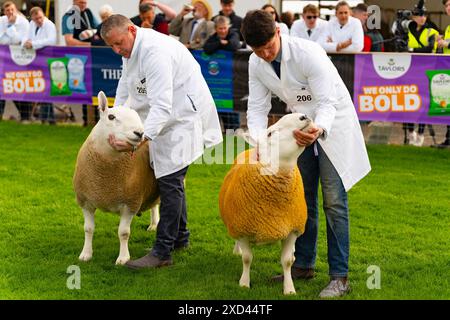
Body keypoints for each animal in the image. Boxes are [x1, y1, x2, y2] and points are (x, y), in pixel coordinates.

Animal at [73, 90, 159, 264]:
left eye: (135, 116)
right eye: (111, 117)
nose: (140, 133)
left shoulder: (131, 203)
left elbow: (123, 233)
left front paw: (123, 258)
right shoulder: (85, 201)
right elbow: (88, 229)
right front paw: (86, 254)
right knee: (154, 205)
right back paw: (153, 225)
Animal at [219, 112, 312, 296]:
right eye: (269, 133)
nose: (303, 116)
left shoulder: (292, 229)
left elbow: (287, 261)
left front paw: (289, 289)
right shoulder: (242, 227)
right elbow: (247, 258)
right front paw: (244, 283)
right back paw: (237, 250)